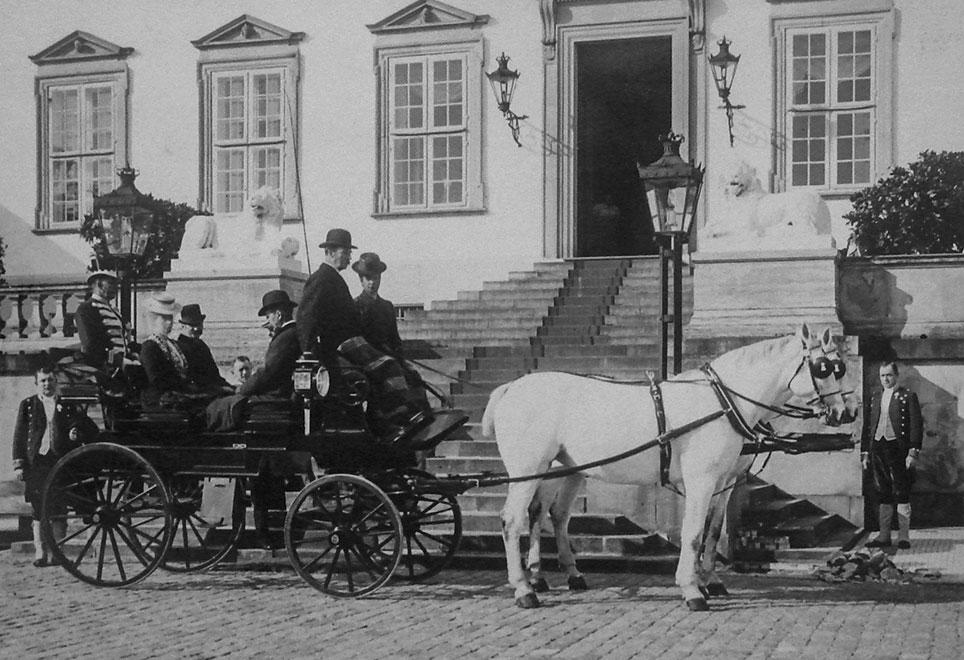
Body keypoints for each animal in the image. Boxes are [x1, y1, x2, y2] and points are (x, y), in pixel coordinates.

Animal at [482, 324, 852, 608]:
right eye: (822, 368)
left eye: (840, 367)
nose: (845, 412)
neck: (722, 401)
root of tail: (511, 387)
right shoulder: (701, 480)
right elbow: (693, 533)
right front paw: (692, 589)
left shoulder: (723, 482)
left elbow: (711, 531)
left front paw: (708, 581)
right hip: (529, 470)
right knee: (514, 519)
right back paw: (525, 587)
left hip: (562, 469)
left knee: (552, 515)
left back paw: (559, 575)